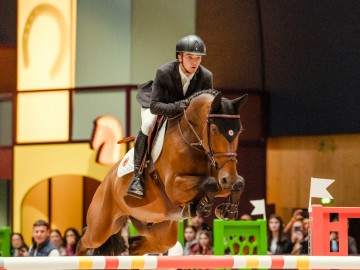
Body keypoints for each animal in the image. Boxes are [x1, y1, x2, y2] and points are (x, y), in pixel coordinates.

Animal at [76, 90, 248, 255]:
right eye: (214, 130)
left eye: (239, 131)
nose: (228, 178)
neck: (191, 140)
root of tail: (107, 180)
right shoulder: (174, 187)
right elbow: (210, 183)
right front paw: (203, 207)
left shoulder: (221, 177)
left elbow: (237, 183)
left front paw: (227, 211)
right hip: (101, 227)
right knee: (84, 241)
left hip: (159, 230)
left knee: (136, 246)